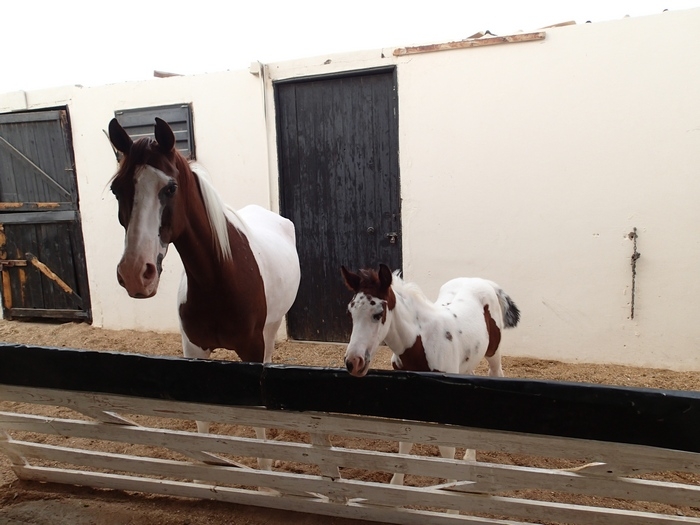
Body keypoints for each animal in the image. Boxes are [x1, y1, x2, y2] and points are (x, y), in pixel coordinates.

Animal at [108, 117, 300, 466]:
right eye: (118, 189)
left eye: (170, 188)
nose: (135, 273)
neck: (220, 278)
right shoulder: (194, 350)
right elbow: (202, 424)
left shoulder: (252, 352)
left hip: (272, 327)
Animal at [342, 264, 516, 486]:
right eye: (350, 313)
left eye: (378, 313)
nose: (353, 362)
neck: (421, 343)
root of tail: (482, 281)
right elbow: (405, 441)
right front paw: (396, 485)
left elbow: (446, 448)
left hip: (494, 354)